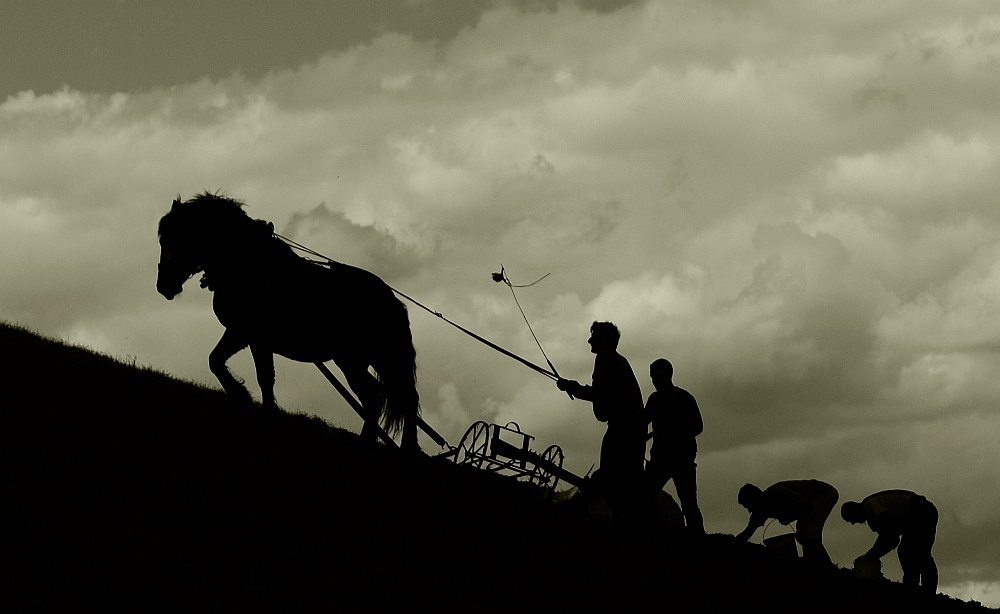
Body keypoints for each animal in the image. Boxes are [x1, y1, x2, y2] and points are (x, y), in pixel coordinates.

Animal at [155, 195, 422, 454]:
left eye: (172, 238)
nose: (163, 285)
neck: (251, 267)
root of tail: (391, 300)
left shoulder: (256, 336)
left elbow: (263, 377)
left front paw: (262, 414)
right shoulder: (241, 332)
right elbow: (216, 361)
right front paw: (245, 401)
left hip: (373, 359)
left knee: (394, 400)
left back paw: (395, 449)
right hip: (355, 360)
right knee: (382, 400)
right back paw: (372, 447)